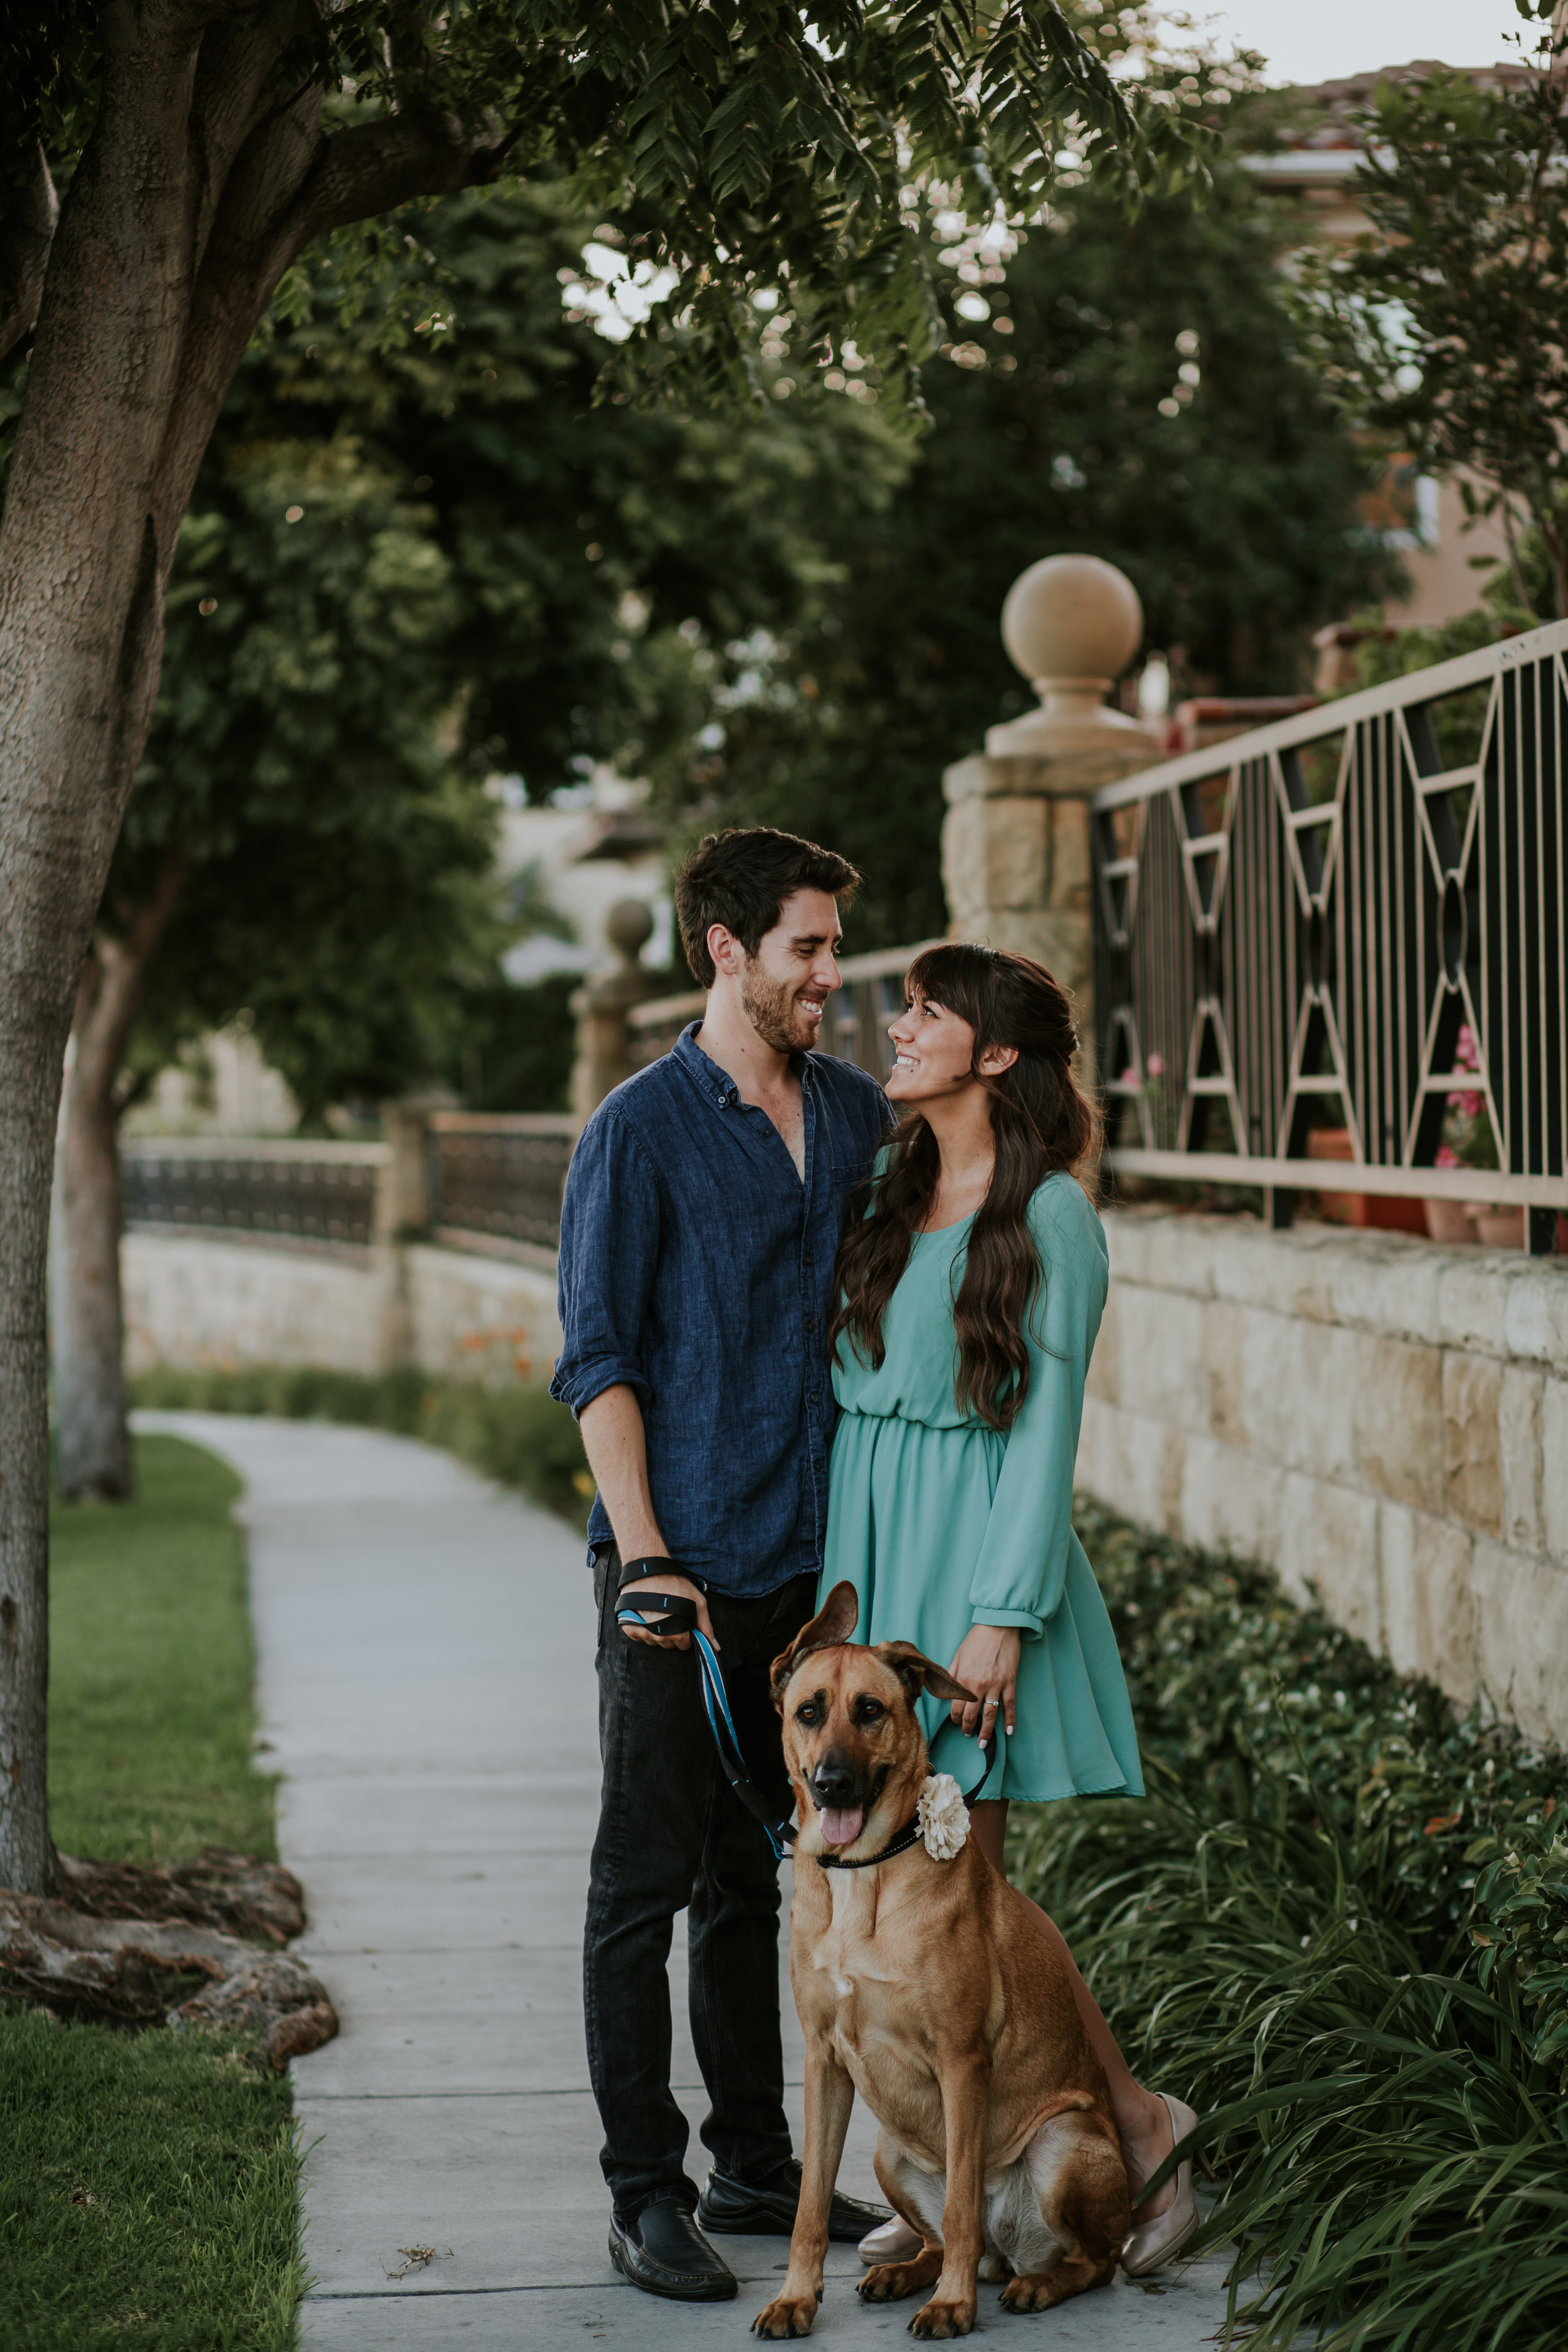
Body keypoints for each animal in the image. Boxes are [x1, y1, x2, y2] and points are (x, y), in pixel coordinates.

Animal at [752, 1581, 1128, 2333]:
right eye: (809, 1712)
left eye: (870, 1711)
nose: (832, 1783)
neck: (862, 1875)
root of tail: (1009, 2252)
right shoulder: (823, 2063)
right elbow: (809, 2209)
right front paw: (796, 2299)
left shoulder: (962, 2060)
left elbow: (959, 2208)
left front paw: (953, 2307)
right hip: (891, 2152)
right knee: (942, 2240)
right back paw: (905, 2273)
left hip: (1065, 2141)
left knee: (1082, 2260)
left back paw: (1030, 2284)